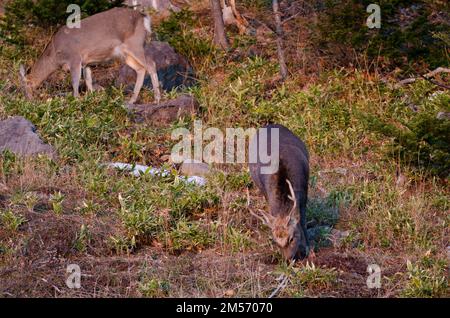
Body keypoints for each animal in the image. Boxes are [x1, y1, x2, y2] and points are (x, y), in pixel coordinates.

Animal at [21, 6, 163, 104]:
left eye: (25, 87)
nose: (28, 102)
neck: (55, 56)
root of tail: (143, 17)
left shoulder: (75, 58)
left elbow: (75, 82)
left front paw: (76, 100)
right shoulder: (87, 62)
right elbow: (88, 80)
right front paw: (91, 99)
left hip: (135, 44)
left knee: (151, 64)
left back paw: (157, 99)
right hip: (126, 54)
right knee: (141, 69)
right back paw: (132, 100)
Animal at [248, 123, 312, 260]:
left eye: (292, 238)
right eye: (275, 242)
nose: (288, 259)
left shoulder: (304, 192)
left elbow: (303, 220)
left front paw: (310, 250)